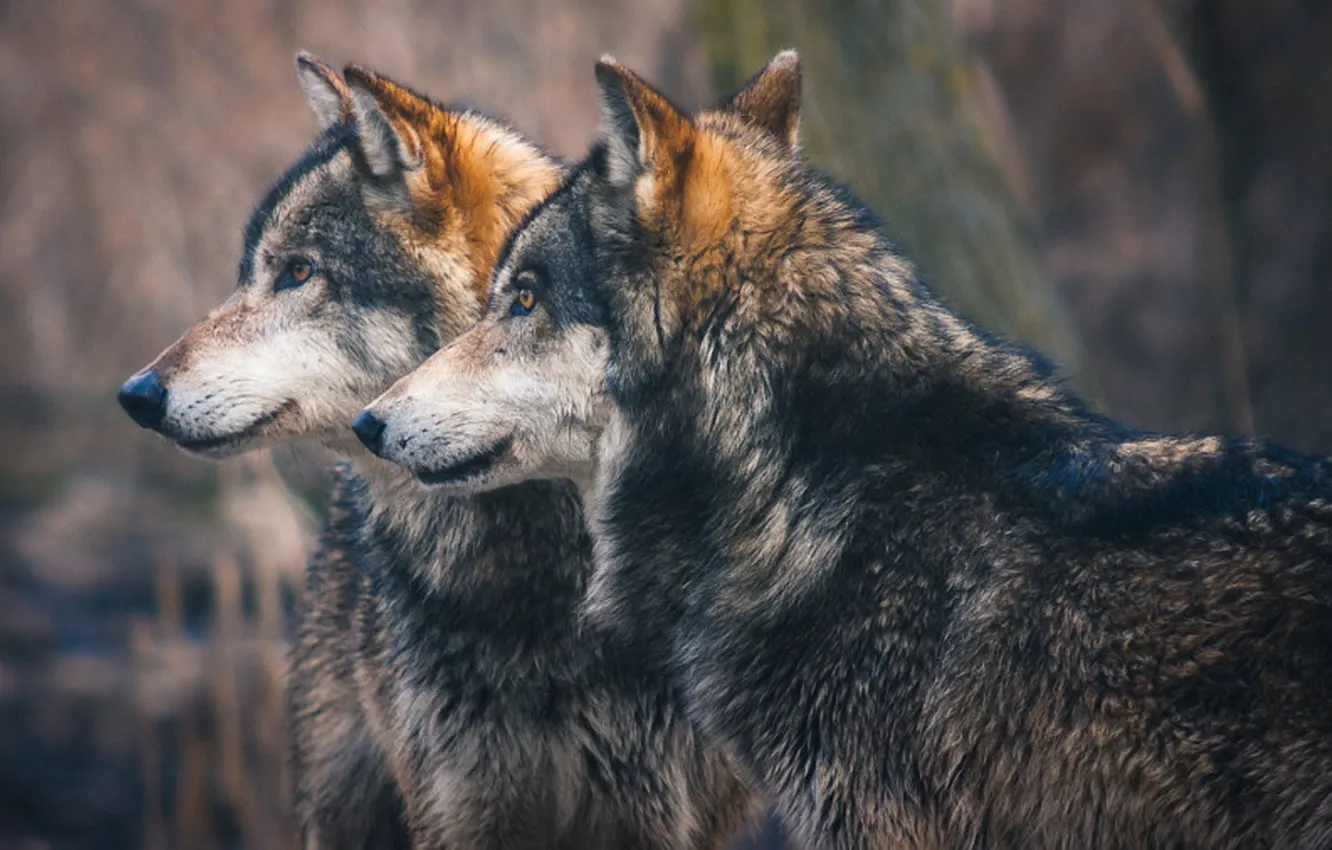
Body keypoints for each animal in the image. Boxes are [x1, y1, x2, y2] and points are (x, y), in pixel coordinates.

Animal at [116, 55, 755, 850]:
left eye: (298, 272)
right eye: (251, 272)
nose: (136, 393)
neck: (539, 582)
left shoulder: (659, 817)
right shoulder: (460, 807)